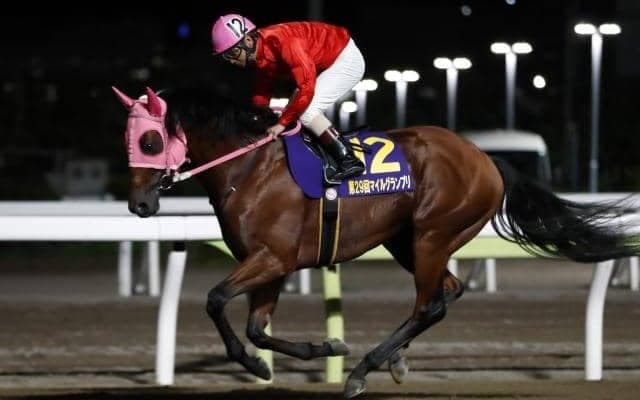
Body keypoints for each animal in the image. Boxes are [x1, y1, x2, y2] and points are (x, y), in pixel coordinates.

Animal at [113, 86, 639, 398]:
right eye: (129, 141)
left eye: (150, 143)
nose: (138, 205)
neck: (249, 168)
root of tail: (487, 159)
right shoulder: (270, 264)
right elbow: (257, 328)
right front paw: (314, 349)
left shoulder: (273, 257)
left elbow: (216, 299)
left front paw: (262, 364)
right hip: (407, 240)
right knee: (446, 292)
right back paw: (394, 358)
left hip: (433, 234)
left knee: (431, 304)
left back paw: (364, 370)